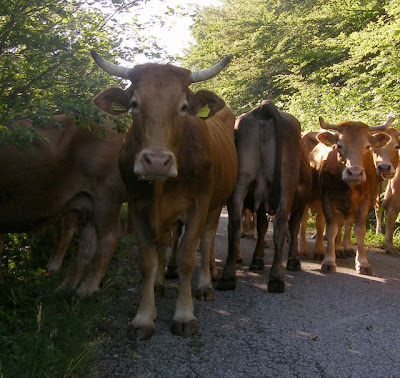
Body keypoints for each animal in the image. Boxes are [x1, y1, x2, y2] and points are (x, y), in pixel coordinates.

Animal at [0, 115, 127, 296]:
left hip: (106, 199)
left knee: (109, 238)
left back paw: (86, 289)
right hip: (86, 203)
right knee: (87, 244)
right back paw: (66, 287)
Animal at [90, 49, 238, 340]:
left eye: (183, 107)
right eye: (134, 104)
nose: (157, 162)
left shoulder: (199, 204)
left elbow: (188, 256)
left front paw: (184, 314)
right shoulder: (137, 206)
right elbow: (148, 260)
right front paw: (144, 317)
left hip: (216, 204)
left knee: (206, 239)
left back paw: (204, 285)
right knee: (167, 240)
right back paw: (160, 283)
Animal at [216, 99, 312, 292]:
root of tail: (264, 108)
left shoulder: (260, 203)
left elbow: (261, 227)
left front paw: (257, 260)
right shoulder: (300, 202)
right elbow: (293, 227)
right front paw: (294, 261)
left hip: (241, 181)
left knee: (234, 226)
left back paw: (228, 277)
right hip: (286, 186)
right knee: (281, 227)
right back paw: (276, 278)